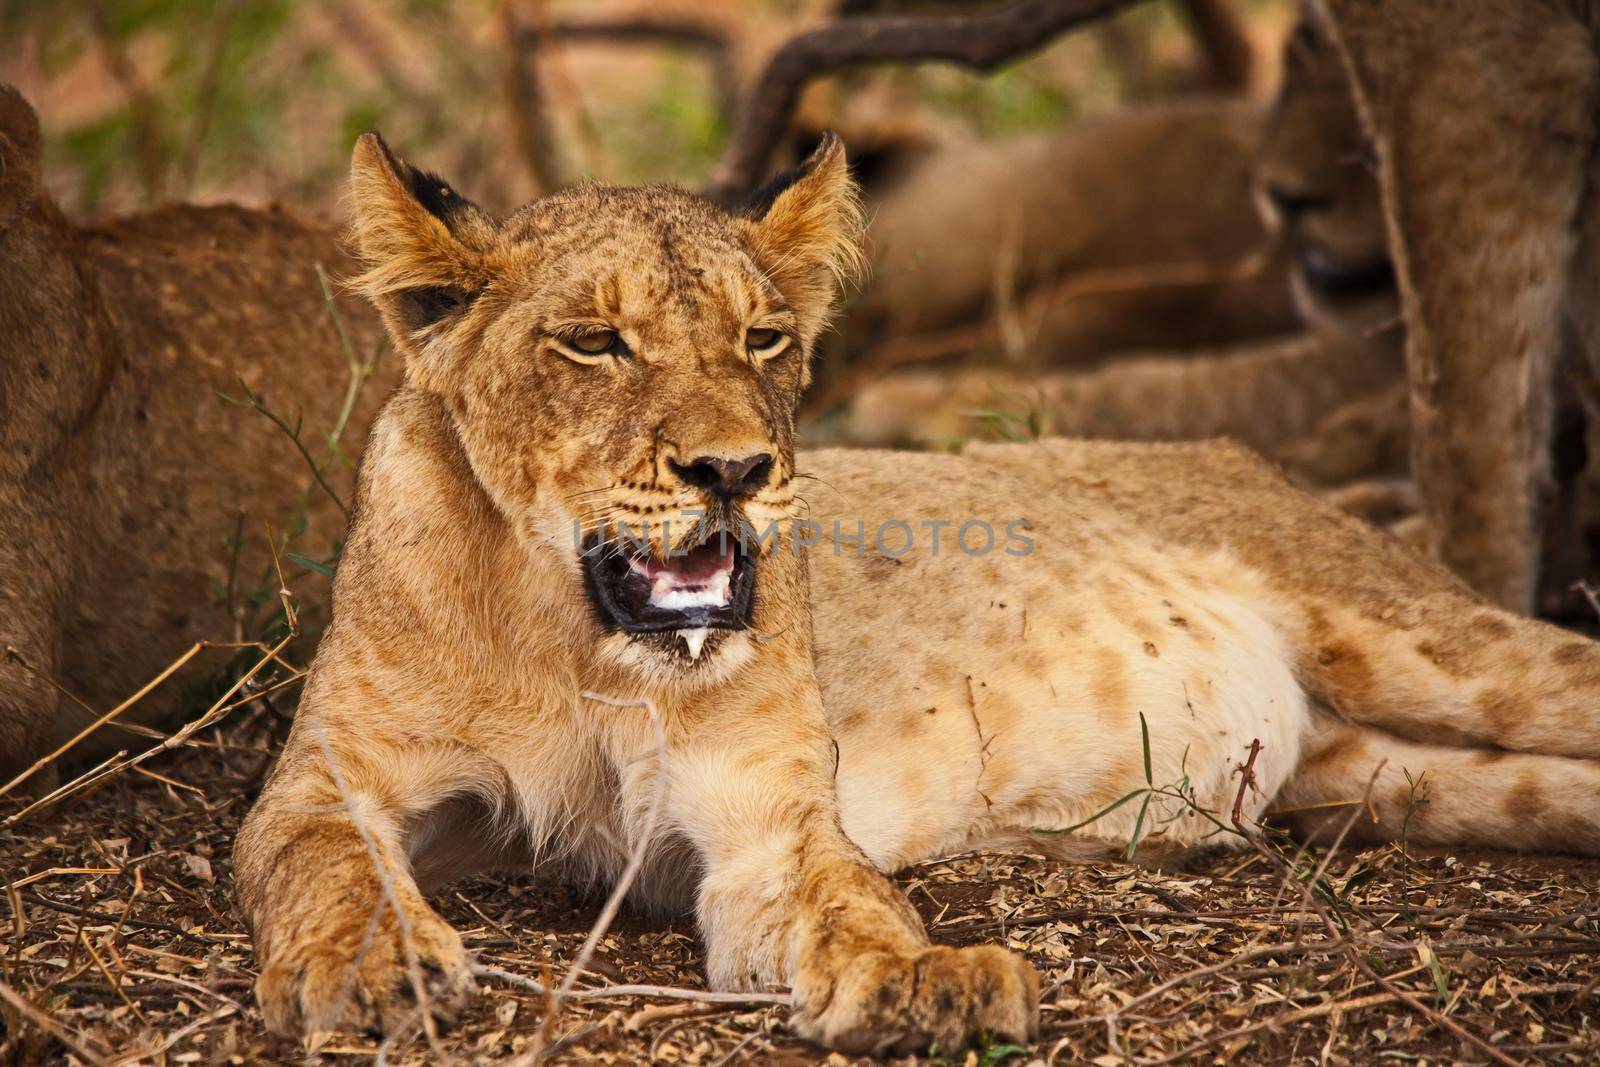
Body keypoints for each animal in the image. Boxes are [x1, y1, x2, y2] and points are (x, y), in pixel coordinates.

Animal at [233, 129, 1600, 1055]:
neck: (567, 634)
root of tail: (1241, 456)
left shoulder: (764, 820)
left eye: (764, 338)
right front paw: (370, 961)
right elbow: (328, 862)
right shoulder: (324, 780)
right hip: (1391, 774)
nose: (734, 470)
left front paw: (922, 980)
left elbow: (850, 898)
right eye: (595, 343)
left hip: (1431, 645)